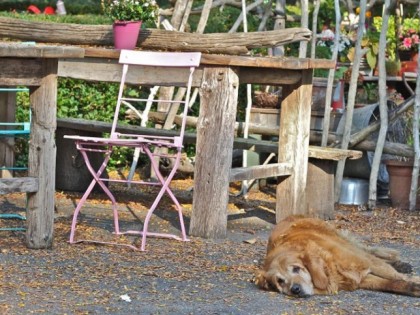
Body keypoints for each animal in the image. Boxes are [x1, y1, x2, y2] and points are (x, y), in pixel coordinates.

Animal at [256, 216, 420, 298]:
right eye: (280, 281)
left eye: (296, 269)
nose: (295, 289)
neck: (329, 264)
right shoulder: (361, 279)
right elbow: (392, 283)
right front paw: (411, 287)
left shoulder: (366, 262)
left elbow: (396, 276)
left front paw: (413, 280)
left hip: (348, 243)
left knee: (372, 252)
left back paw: (400, 264)